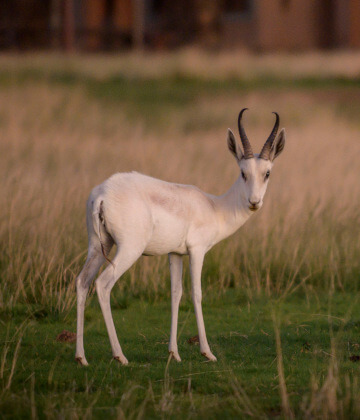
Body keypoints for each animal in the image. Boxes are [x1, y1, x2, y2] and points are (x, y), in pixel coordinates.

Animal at [74, 110, 286, 366]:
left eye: (267, 173)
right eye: (243, 173)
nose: (254, 202)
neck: (215, 208)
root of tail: (103, 194)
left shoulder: (174, 254)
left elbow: (176, 294)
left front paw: (174, 353)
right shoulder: (197, 251)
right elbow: (196, 294)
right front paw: (207, 352)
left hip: (98, 245)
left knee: (82, 282)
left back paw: (81, 357)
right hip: (129, 249)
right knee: (103, 284)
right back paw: (120, 355)